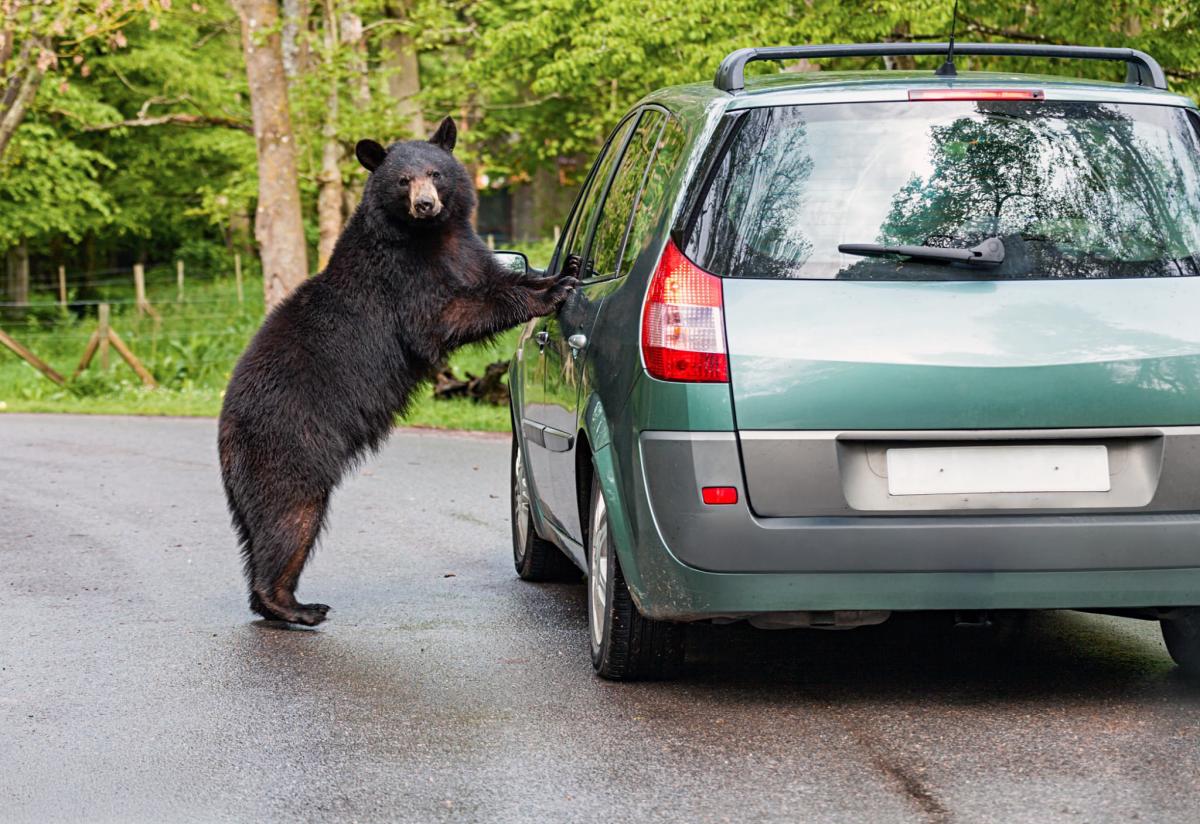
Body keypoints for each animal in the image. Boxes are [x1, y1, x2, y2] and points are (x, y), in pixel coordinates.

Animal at [218, 117, 577, 626]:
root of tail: (225, 428)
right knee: (289, 517)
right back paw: (295, 605)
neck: (429, 237)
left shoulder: (466, 251)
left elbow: (496, 277)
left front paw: (557, 273)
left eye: (435, 172)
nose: (426, 204)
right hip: (289, 442)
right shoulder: (402, 278)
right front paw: (551, 293)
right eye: (403, 180)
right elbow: (443, 316)